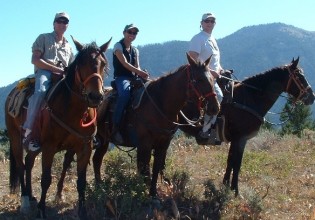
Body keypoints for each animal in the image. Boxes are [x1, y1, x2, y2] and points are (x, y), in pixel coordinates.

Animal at [5, 36, 112, 218]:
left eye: (103, 63)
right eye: (81, 63)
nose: (96, 96)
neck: (74, 111)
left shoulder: (84, 147)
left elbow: (81, 181)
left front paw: (82, 211)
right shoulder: (49, 146)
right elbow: (46, 179)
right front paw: (42, 210)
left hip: (36, 144)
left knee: (29, 162)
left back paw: (32, 197)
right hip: (15, 138)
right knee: (20, 164)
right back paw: (25, 201)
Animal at [179, 57, 314, 196]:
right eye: (299, 76)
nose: (311, 97)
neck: (250, 98)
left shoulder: (234, 140)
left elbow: (230, 161)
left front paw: (225, 185)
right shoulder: (241, 139)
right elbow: (237, 164)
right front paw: (236, 191)